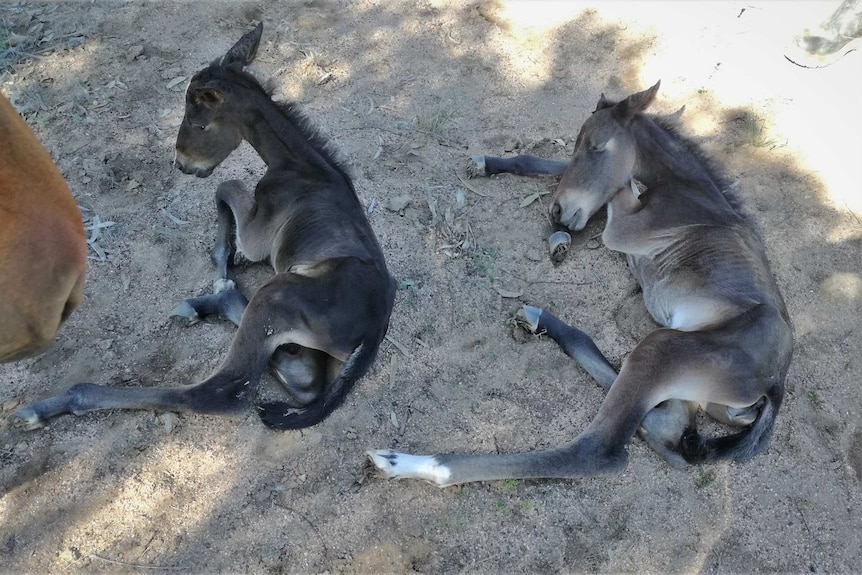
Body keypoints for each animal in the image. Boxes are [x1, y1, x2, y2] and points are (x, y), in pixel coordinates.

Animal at [13, 25, 398, 432]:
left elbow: (225, 187)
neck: (299, 168)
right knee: (301, 378)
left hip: (277, 294)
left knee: (225, 391)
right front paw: (227, 267)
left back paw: (55, 404)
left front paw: (229, 256)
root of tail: (373, 332)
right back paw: (215, 300)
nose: (182, 164)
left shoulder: (260, 234)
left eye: (199, 124)